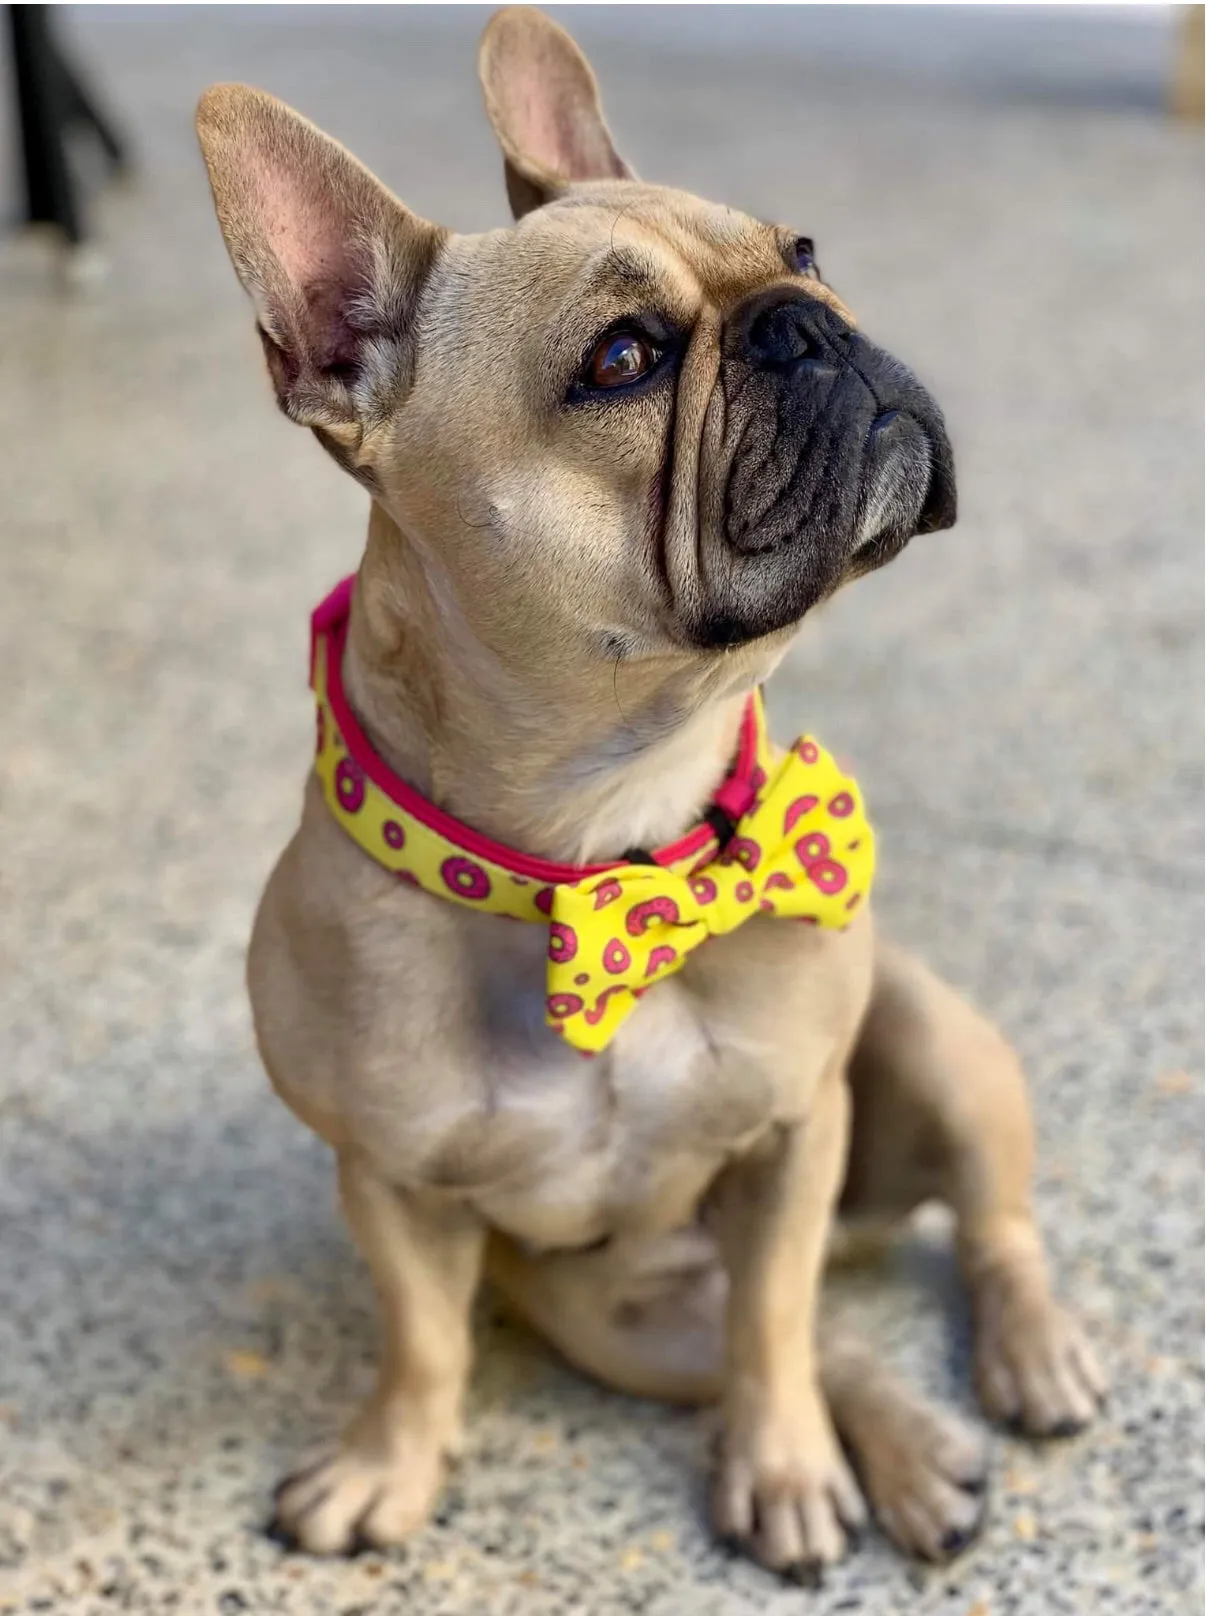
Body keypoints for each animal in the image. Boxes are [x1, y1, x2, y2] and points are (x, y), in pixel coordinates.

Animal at [194, 6, 1099, 1583]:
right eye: (620, 357)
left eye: (804, 246)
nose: (807, 323)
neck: (602, 852)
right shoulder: (388, 1182)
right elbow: (425, 1343)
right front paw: (386, 1463)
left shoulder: (795, 1135)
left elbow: (775, 1320)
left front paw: (784, 1466)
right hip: (613, 1315)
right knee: (821, 1342)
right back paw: (909, 1455)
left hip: (935, 1045)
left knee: (978, 1231)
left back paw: (1021, 1363)